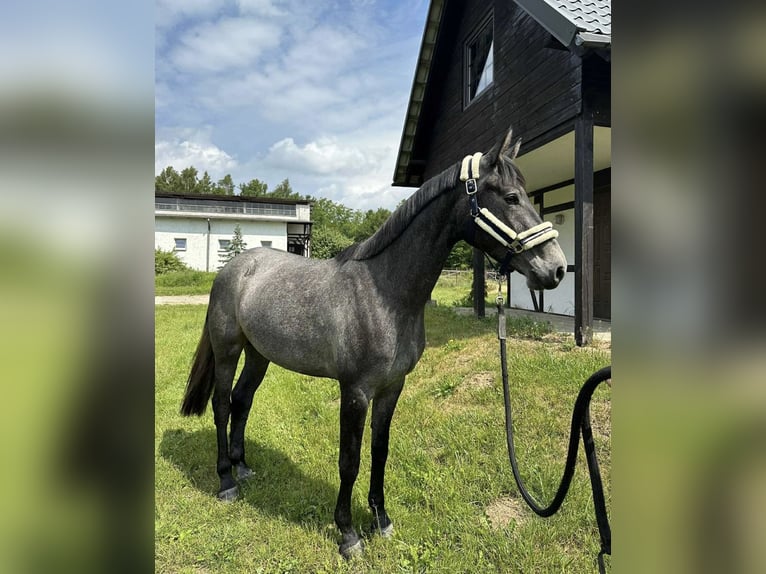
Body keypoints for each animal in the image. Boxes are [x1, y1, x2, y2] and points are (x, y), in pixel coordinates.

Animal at [178, 128, 564, 560]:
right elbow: (350, 459)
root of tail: (234, 268)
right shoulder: (356, 391)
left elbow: (380, 450)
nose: (556, 268)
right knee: (222, 404)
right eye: (511, 197)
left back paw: (242, 467)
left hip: (259, 354)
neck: (385, 292)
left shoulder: (392, 387)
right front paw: (348, 534)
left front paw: (381, 519)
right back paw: (226, 481)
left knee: (242, 400)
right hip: (228, 350)